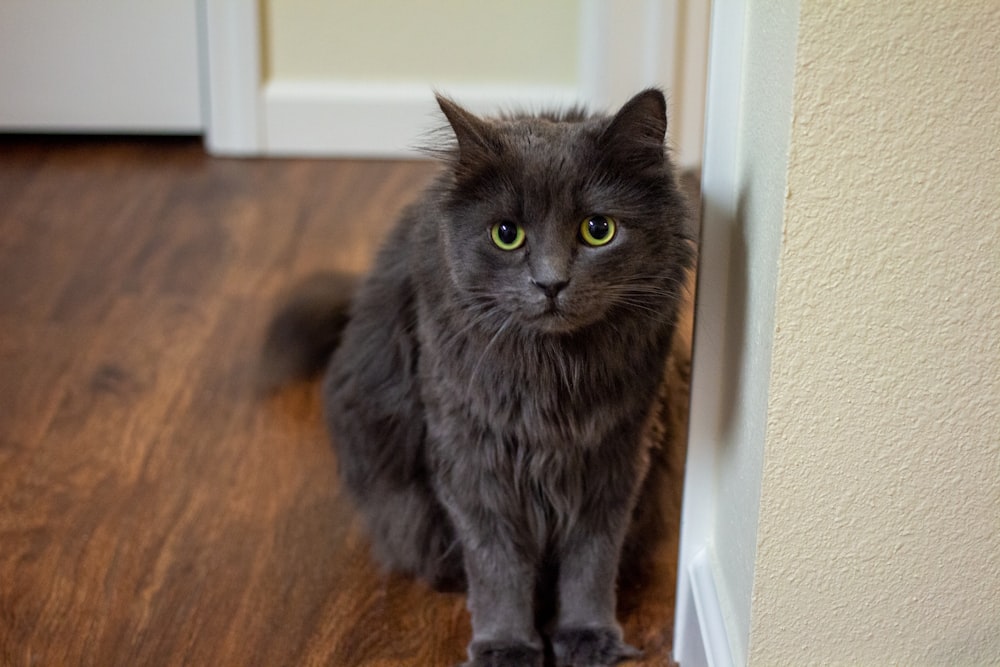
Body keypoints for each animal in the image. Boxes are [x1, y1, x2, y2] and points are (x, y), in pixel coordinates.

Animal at [262, 90, 692, 667]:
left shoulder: (616, 455)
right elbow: (497, 568)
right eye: (506, 235)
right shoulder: (473, 459)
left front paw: (587, 635)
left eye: (597, 229)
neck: (553, 380)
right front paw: (506, 645)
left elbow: (592, 560)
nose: (550, 283)